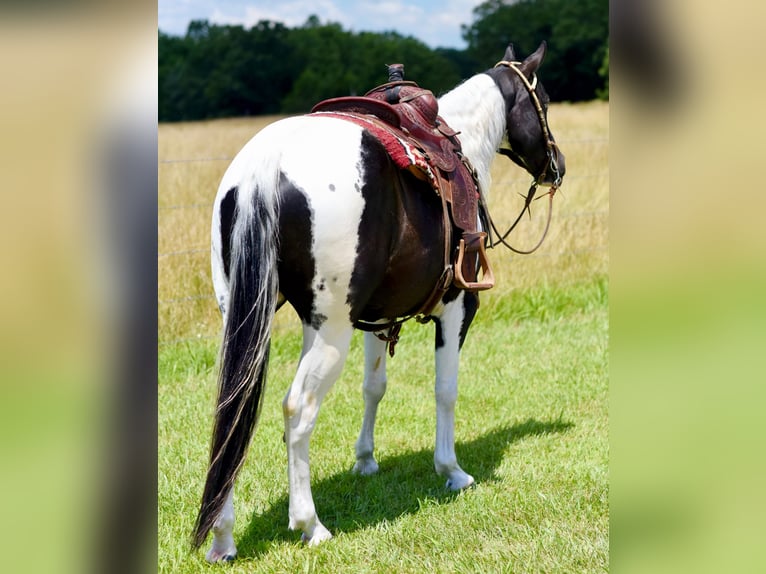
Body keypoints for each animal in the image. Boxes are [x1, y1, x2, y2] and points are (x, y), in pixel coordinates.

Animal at [193, 41, 565, 561]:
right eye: (544, 102)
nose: (557, 165)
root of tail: (264, 168)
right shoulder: (457, 308)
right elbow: (445, 390)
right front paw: (451, 470)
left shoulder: (374, 316)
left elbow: (374, 386)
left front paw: (365, 460)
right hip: (329, 331)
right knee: (297, 410)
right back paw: (309, 523)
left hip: (249, 320)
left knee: (232, 413)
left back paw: (223, 538)